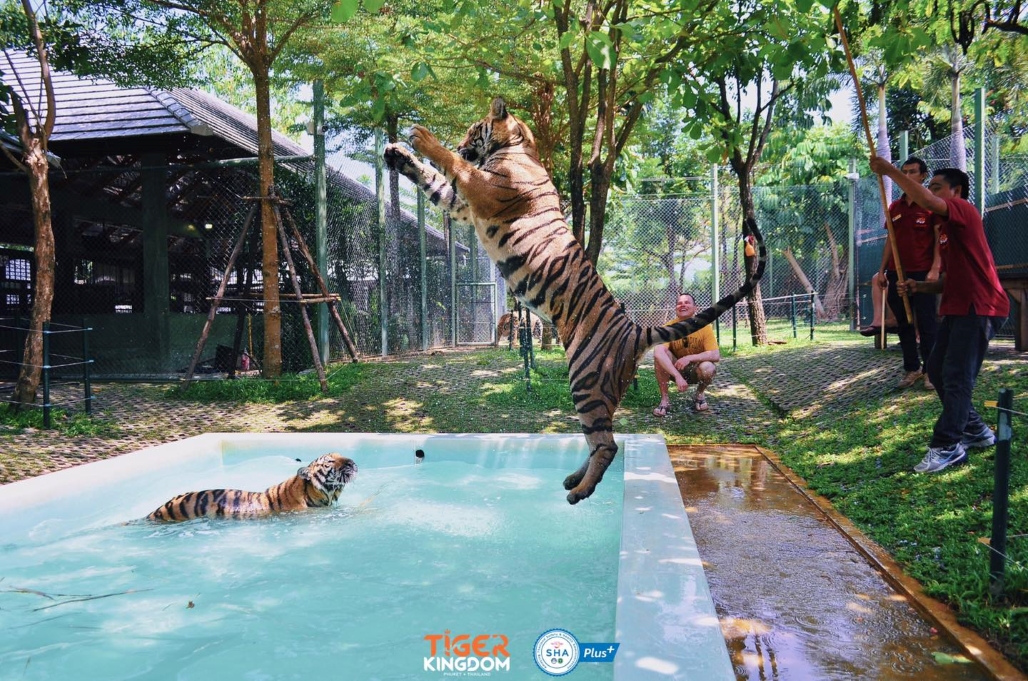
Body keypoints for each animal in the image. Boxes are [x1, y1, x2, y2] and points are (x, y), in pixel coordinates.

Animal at [384, 98, 765, 505]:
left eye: (474, 130)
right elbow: (436, 182)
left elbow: (454, 167)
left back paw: (579, 492)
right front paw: (398, 155)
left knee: (607, 444)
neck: (518, 146)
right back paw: (573, 481)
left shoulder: (482, 189)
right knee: (600, 440)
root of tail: (634, 330)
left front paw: (423, 139)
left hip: (585, 380)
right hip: (598, 391)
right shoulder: (464, 205)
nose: (460, 142)